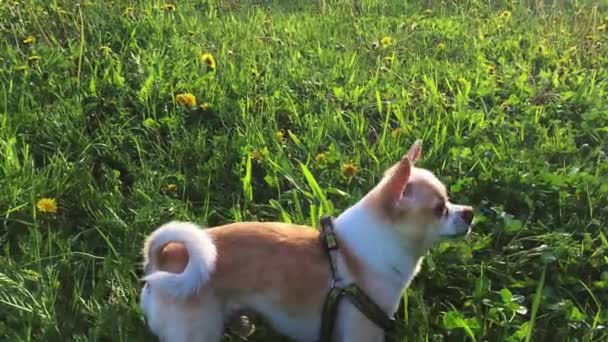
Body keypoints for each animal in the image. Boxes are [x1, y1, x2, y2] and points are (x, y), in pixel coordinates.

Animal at [139, 140, 476, 340]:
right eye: (440, 209)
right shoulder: (362, 330)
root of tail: (164, 260)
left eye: (450, 201)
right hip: (197, 332)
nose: (470, 213)